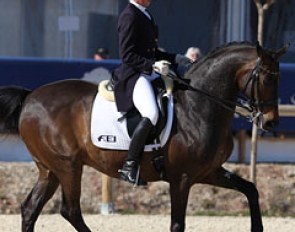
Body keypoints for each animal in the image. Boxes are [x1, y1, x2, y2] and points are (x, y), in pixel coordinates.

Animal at [0, 42, 288, 232]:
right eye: (267, 78)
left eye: (278, 78)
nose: (271, 122)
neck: (199, 106)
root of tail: (30, 96)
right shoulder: (182, 178)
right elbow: (177, 224)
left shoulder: (209, 171)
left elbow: (250, 189)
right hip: (67, 166)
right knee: (70, 210)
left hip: (49, 169)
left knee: (30, 209)